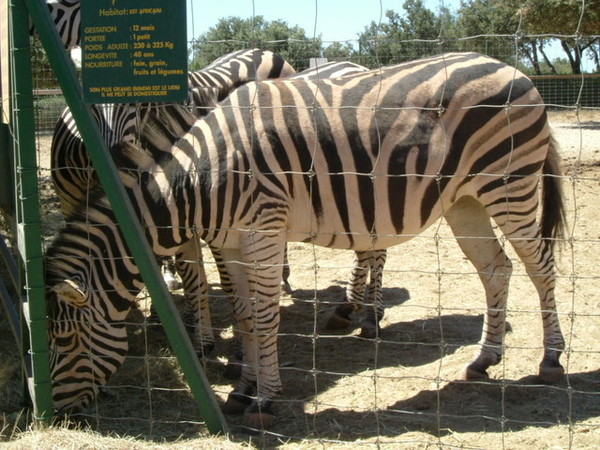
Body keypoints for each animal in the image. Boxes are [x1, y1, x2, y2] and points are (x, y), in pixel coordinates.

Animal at [45, 52, 568, 428]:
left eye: (65, 338)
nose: (62, 417)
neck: (199, 182)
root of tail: (511, 67)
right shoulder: (232, 243)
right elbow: (244, 315)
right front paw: (242, 388)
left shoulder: (264, 229)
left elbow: (263, 316)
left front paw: (266, 398)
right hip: (466, 200)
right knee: (496, 268)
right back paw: (484, 358)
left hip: (511, 184)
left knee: (540, 266)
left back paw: (550, 360)